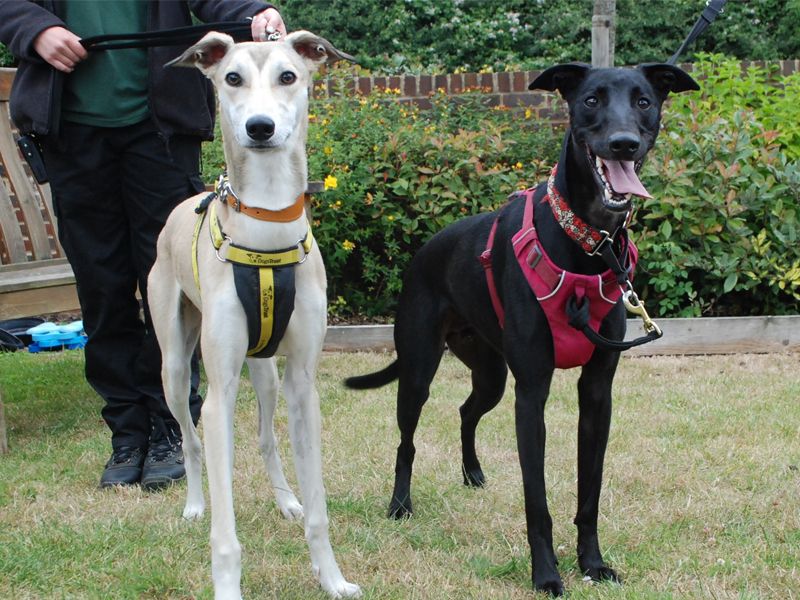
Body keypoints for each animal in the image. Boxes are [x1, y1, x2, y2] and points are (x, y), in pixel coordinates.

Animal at [148, 31, 360, 600]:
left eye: (289, 76)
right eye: (232, 78)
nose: (259, 128)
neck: (266, 231)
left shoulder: (304, 384)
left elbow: (320, 510)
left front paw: (332, 578)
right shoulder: (218, 394)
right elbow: (226, 535)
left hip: (264, 370)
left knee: (266, 436)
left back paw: (285, 498)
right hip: (174, 365)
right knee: (191, 440)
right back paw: (194, 504)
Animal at [346, 62, 696, 596]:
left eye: (644, 101)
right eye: (591, 100)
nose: (623, 144)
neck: (586, 241)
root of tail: (424, 252)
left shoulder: (598, 393)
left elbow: (590, 492)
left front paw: (593, 564)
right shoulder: (532, 392)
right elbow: (538, 500)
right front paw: (547, 575)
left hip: (490, 372)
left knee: (467, 410)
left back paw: (472, 473)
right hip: (420, 368)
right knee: (407, 439)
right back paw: (400, 504)